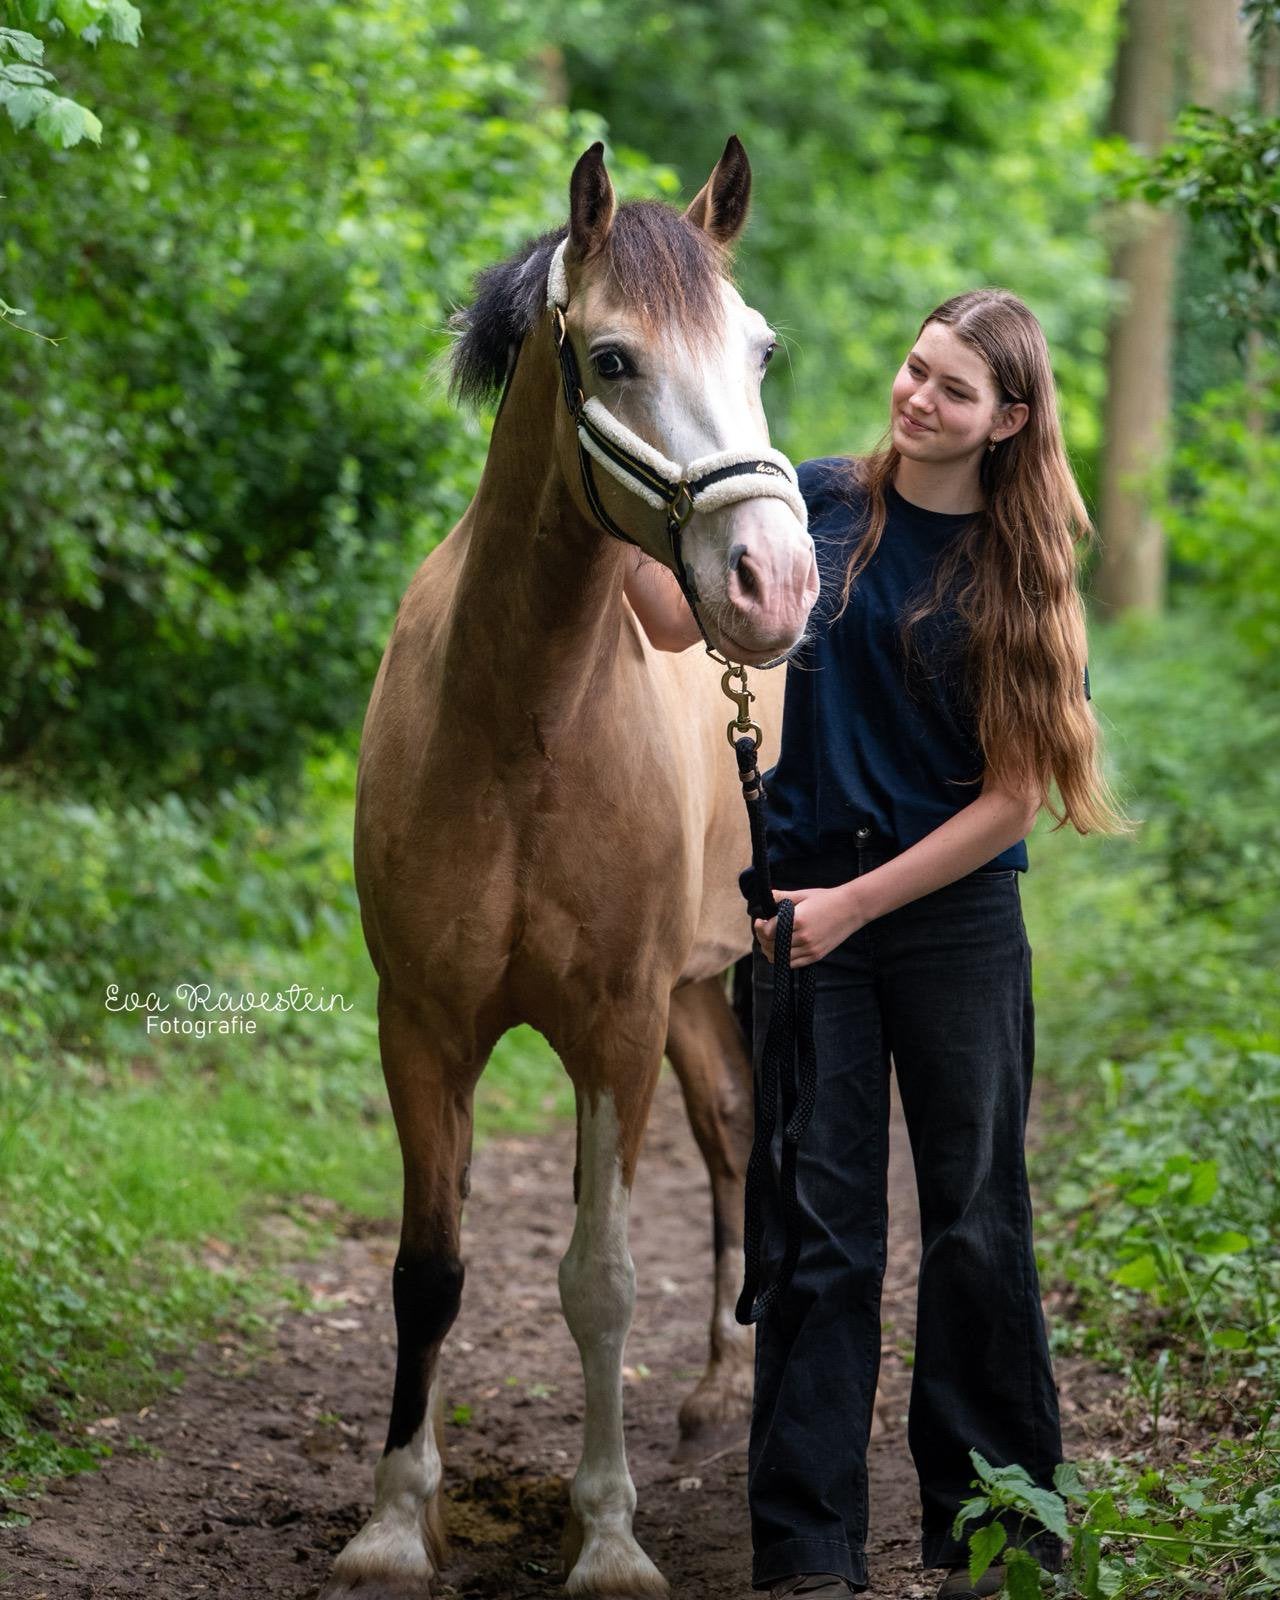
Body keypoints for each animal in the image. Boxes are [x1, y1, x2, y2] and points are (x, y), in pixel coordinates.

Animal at [323, 135, 819, 1599]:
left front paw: (607, 1536)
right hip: (699, 992)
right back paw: (714, 1389)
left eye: (760, 349)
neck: (518, 722)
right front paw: (396, 1521)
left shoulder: (612, 1026)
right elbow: (429, 1270)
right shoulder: (424, 1024)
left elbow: (599, 1283)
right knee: (731, 1128)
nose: (774, 583)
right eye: (610, 358)